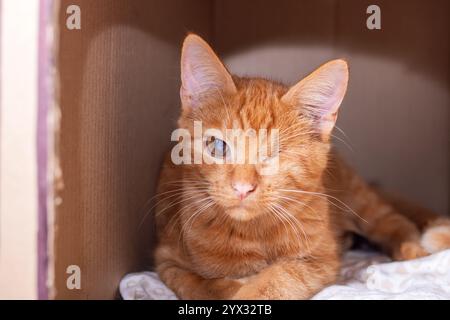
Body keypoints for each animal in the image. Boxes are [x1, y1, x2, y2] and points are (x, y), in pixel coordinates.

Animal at [154, 33, 450, 298]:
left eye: (275, 154)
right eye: (217, 146)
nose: (242, 188)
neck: (251, 234)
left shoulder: (321, 260)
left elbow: (281, 277)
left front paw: (249, 288)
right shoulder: (167, 259)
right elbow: (198, 285)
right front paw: (227, 285)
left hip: (360, 200)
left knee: (393, 220)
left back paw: (412, 250)